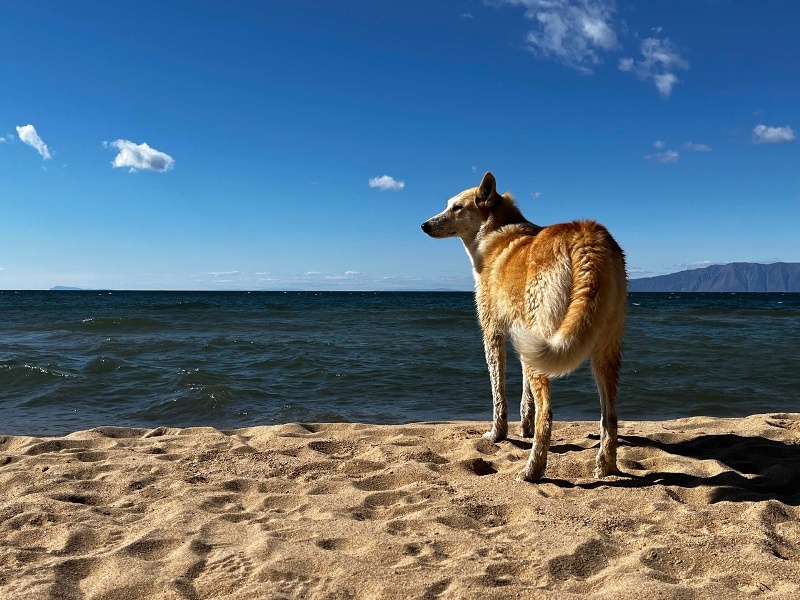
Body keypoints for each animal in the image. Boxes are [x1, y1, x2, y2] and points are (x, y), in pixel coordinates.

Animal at [422, 171, 628, 480]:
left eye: (456, 207)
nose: (424, 225)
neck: (495, 233)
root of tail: (585, 236)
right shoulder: (525, 342)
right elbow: (524, 396)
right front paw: (525, 427)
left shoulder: (493, 333)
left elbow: (499, 393)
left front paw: (497, 434)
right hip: (602, 347)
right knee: (610, 414)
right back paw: (606, 465)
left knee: (548, 413)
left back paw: (533, 469)